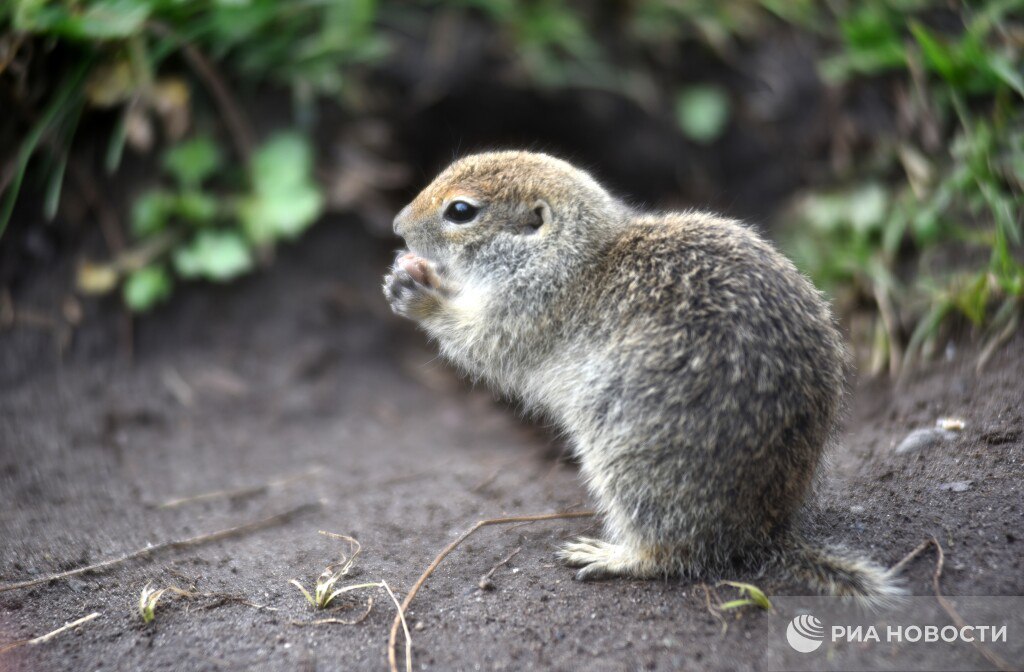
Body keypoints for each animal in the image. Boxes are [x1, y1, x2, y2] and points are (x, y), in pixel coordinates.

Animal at [385, 150, 905, 598]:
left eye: (461, 211)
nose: (396, 225)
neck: (575, 256)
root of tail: (762, 531)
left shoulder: (527, 308)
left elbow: (479, 343)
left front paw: (418, 291)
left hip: (629, 463)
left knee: (673, 554)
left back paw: (615, 556)